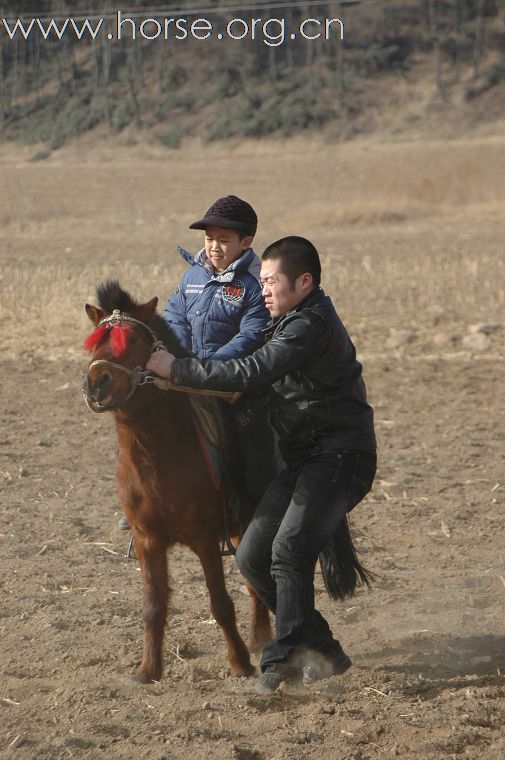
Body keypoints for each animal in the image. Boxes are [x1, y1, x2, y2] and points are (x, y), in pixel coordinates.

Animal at [82, 280, 272, 684]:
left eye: (132, 340)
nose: (96, 383)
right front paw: (147, 670)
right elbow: (153, 606)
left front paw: (240, 664)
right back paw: (260, 638)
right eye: (93, 343)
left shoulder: (204, 539)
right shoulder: (148, 540)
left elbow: (220, 602)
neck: (159, 453)